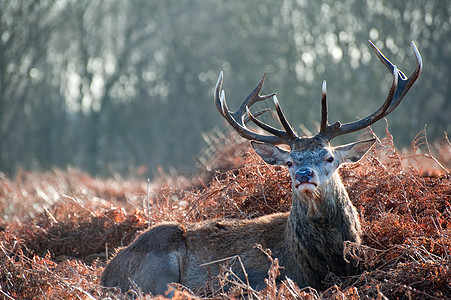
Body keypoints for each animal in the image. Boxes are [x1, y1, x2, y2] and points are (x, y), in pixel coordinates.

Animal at [101, 41, 424, 296]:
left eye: (329, 157)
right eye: (290, 162)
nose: (304, 175)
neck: (319, 263)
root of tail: (106, 274)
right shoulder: (259, 278)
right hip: (158, 271)